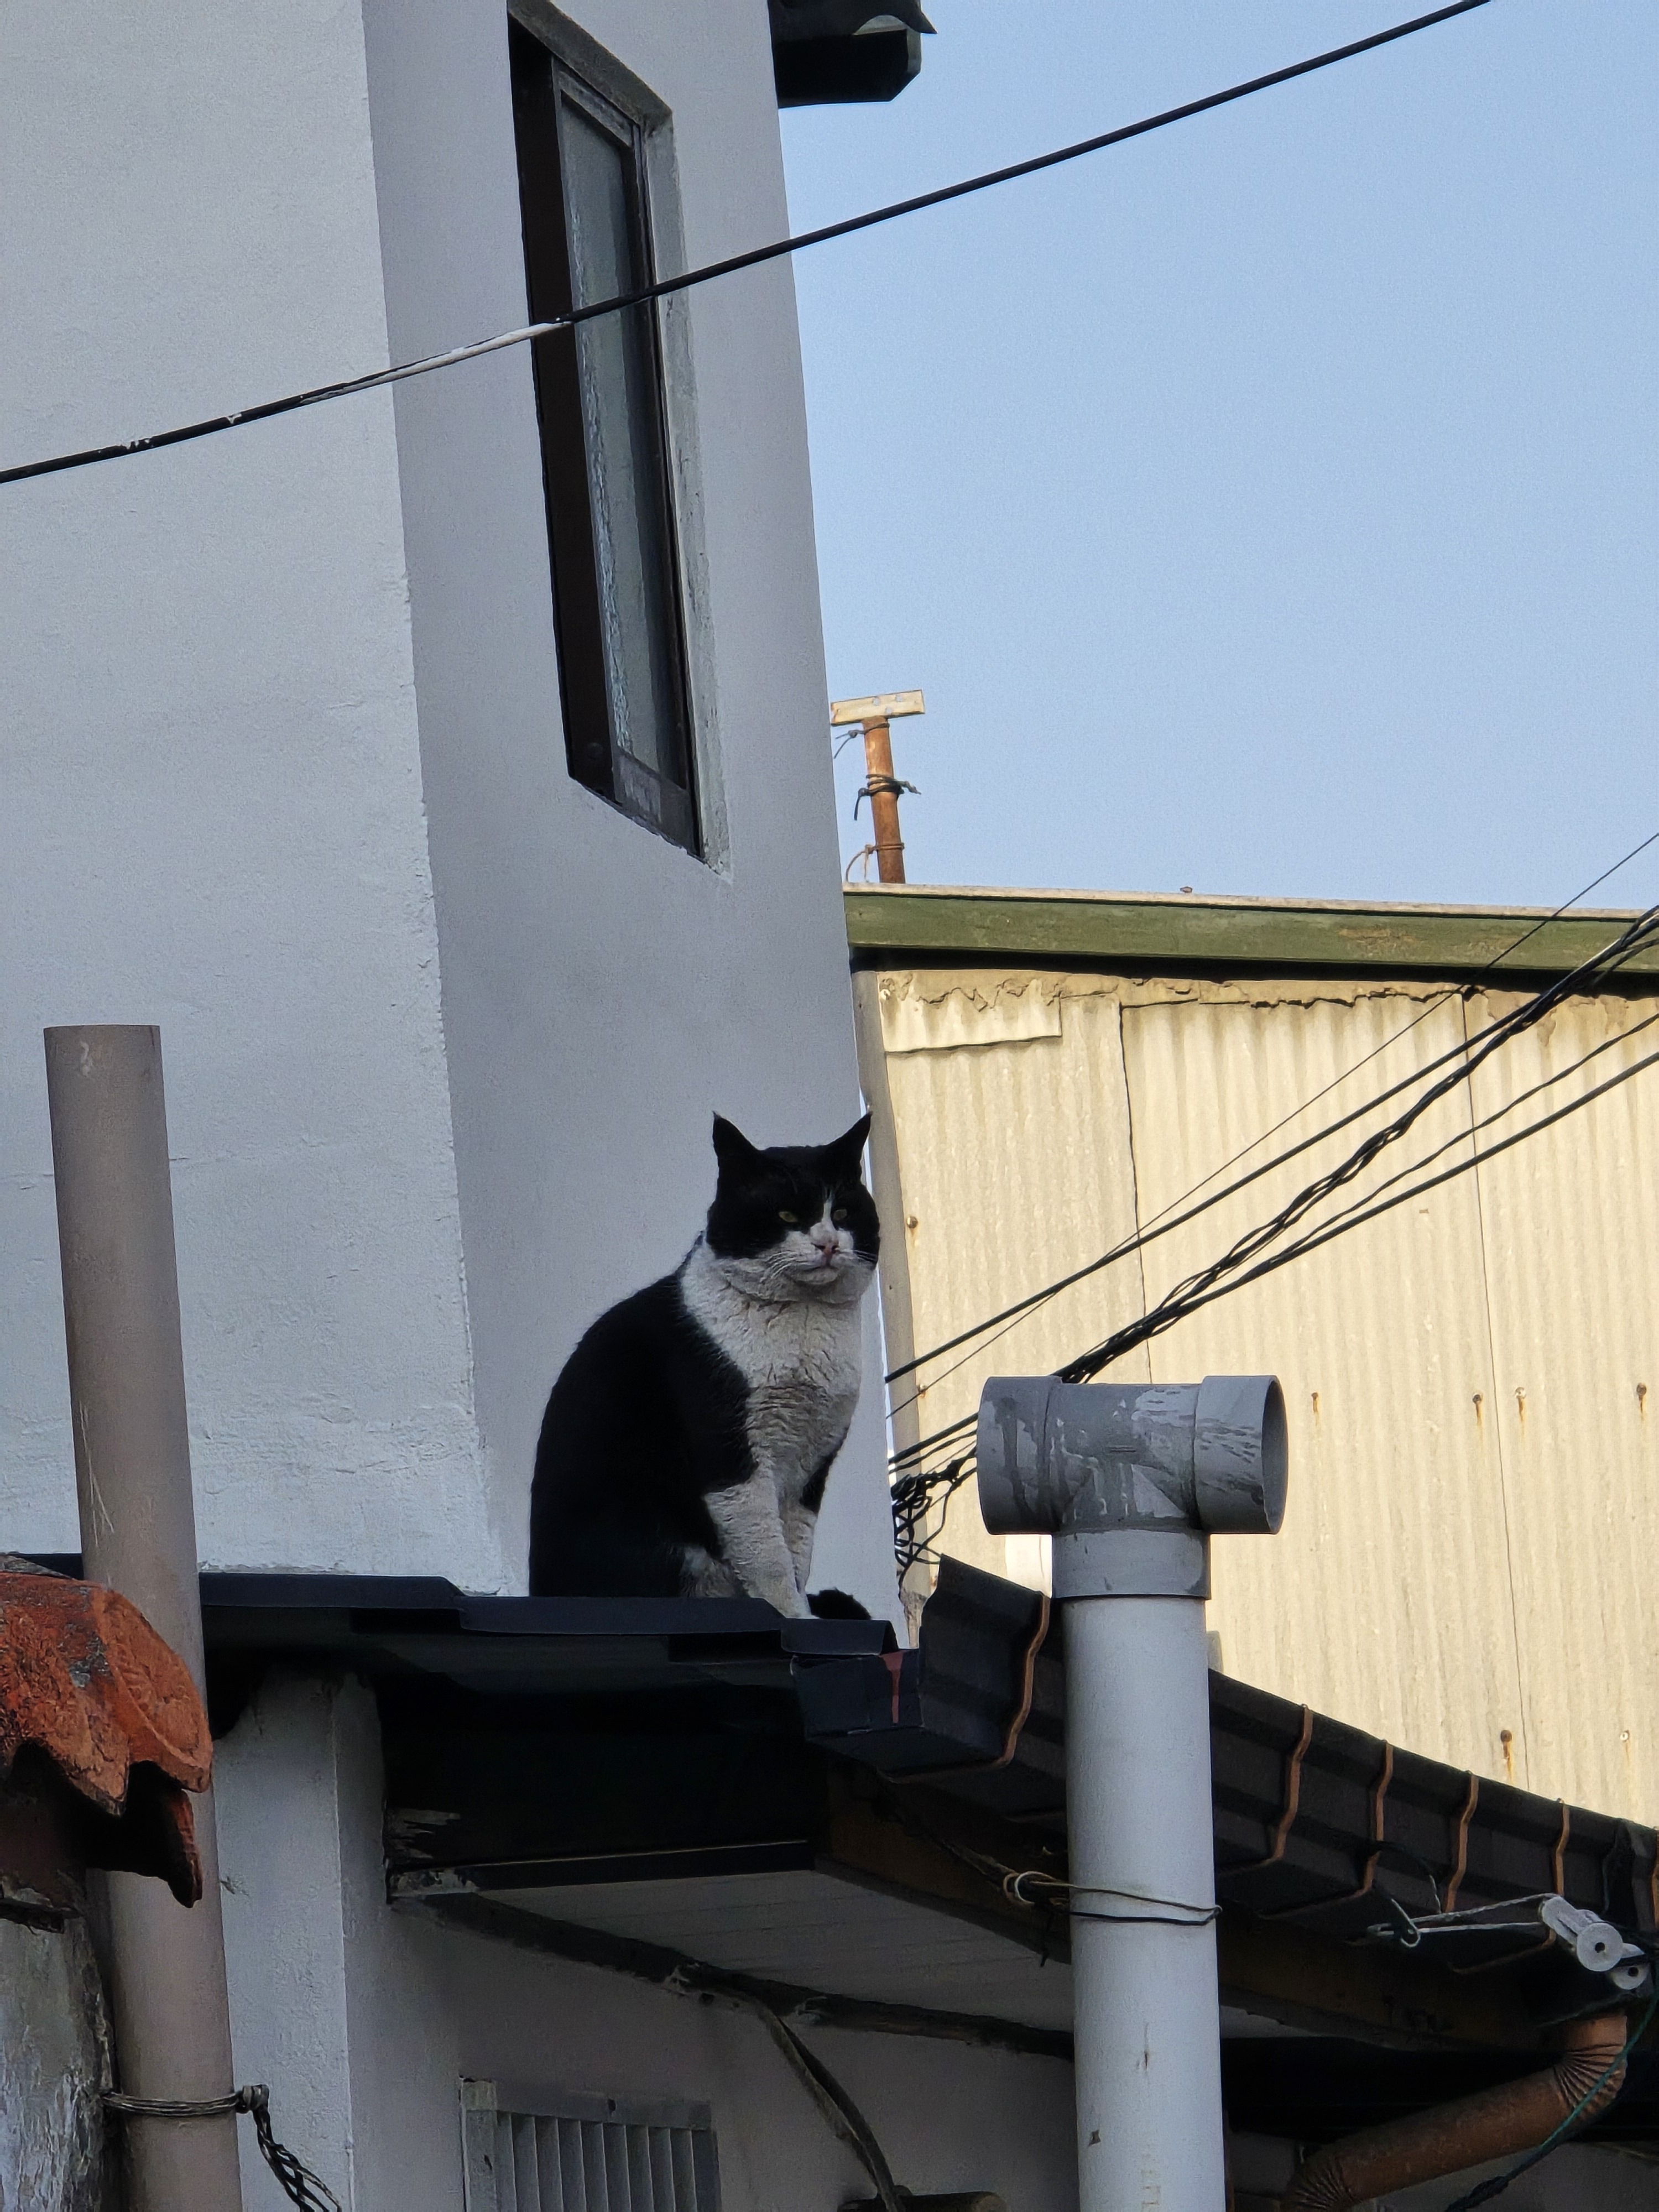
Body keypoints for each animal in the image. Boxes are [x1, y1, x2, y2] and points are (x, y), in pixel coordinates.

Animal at [528, 1112, 880, 1618]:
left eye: (844, 1214)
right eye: (787, 1216)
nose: (829, 1244)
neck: (804, 1326)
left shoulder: (811, 1466)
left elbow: (797, 1550)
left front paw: (806, 1611)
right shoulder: (731, 1450)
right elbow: (769, 1556)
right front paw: (795, 1616)